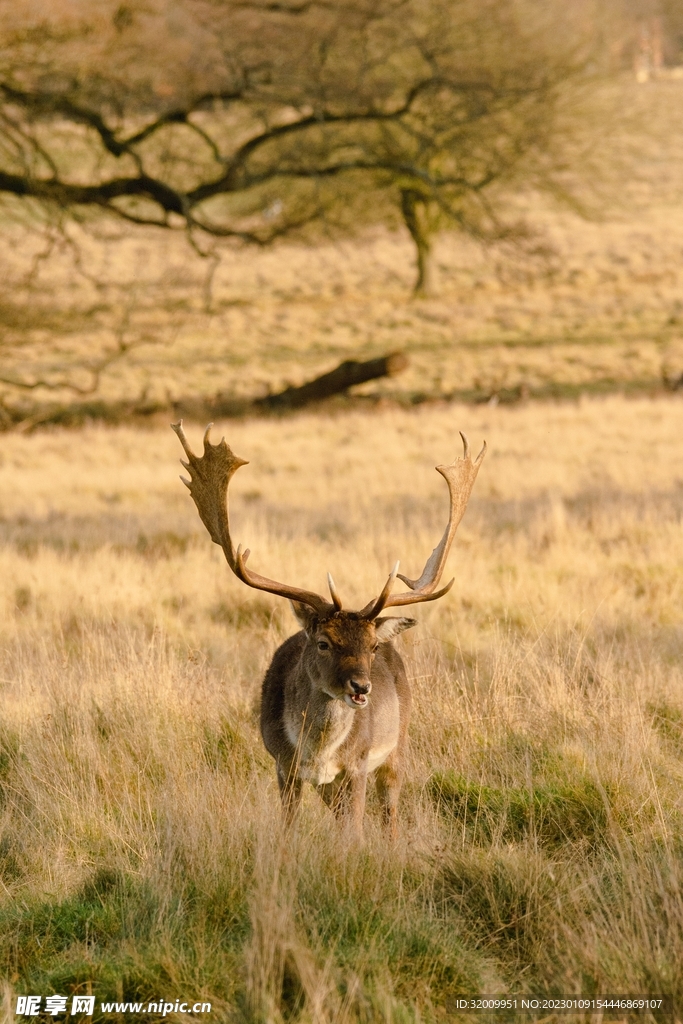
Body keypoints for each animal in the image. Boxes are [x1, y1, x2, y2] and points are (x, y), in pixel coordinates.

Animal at [172, 421, 485, 841]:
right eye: (324, 643)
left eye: (371, 646)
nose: (361, 687)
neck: (317, 751)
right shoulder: (283, 765)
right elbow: (288, 828)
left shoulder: (357, 765)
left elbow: (356, 831)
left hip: (398, 745)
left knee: (390, 813)